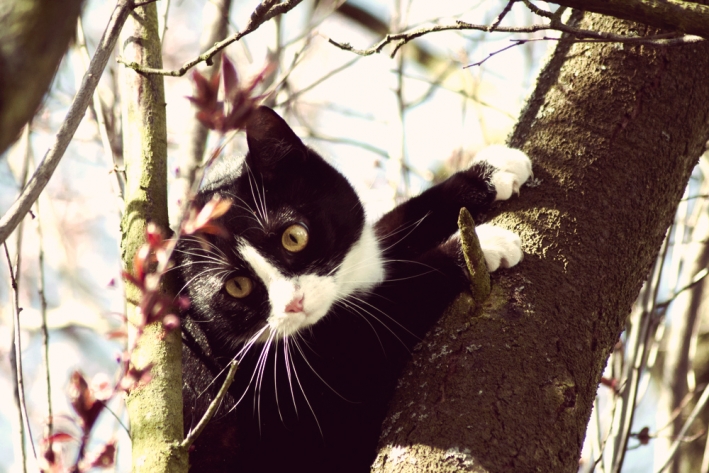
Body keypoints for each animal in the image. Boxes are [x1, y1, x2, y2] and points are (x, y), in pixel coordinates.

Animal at [177, 107, 532, 472]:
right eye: (237, 286)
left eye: (294, 236)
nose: (294, 302)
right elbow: (394, 301)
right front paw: (477, 246)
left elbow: (391, 230)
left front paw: (489, 171)